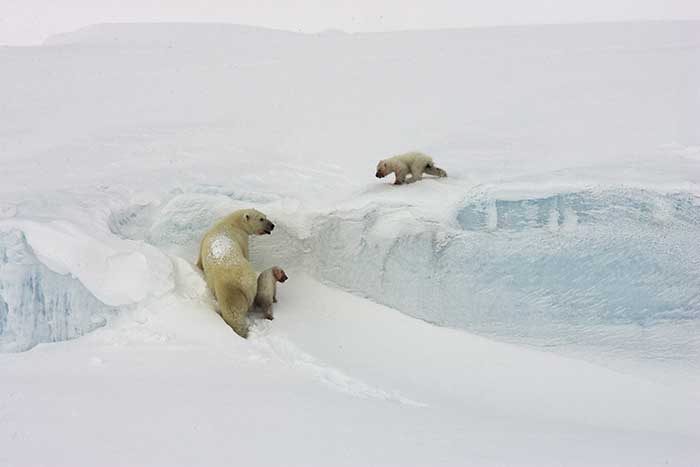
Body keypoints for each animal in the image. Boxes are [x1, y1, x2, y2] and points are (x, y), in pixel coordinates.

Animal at [198, 210, 274, 338]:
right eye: (261, 219)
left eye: (265, 216)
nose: (272, 225)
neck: (233, 223)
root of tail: (244, 283)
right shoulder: (242, 239)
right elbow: (246, 254)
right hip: (231, 290)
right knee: (234, 311)